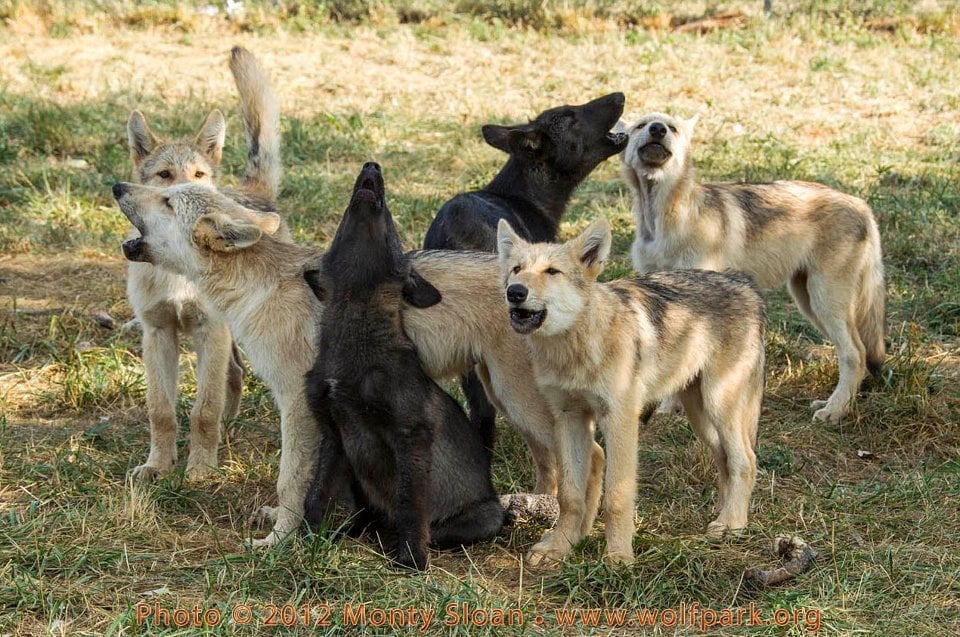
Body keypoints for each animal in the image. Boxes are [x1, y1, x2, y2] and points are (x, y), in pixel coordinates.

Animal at [125, 47, 280, 480]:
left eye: (198, 174)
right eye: (164, 175)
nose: (190, 193)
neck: (177, 274)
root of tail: (250, 191)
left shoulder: (210, 331)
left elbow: (203, 410)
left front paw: (201, 469)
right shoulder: (157, 334)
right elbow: (161, 411)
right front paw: (158, 465)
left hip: (233, 331)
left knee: (232, 379)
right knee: (234, 374)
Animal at [496, 217, 764, 560]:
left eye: (552, 271)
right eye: (517, 269)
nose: (515, 291)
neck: (578, 348)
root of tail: (744, 283)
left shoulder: (619, 421)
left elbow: (616, 498)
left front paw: (618, 557)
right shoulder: (569, 419)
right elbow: (570, 496)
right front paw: (559, 548)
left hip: (720, 405)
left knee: (746, 461)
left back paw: (732, 524)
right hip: (701, 416)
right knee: (725, 460)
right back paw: (722, 514)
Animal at [620, 112, 880, 424]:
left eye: (671, 128)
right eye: (641, 125)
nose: (657, 129)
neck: (664, 221)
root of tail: (862, 205)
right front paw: (668, 410)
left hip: (825, 303)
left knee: (855, 353)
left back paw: (834, 411)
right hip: (810, 304)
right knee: (856, 353)